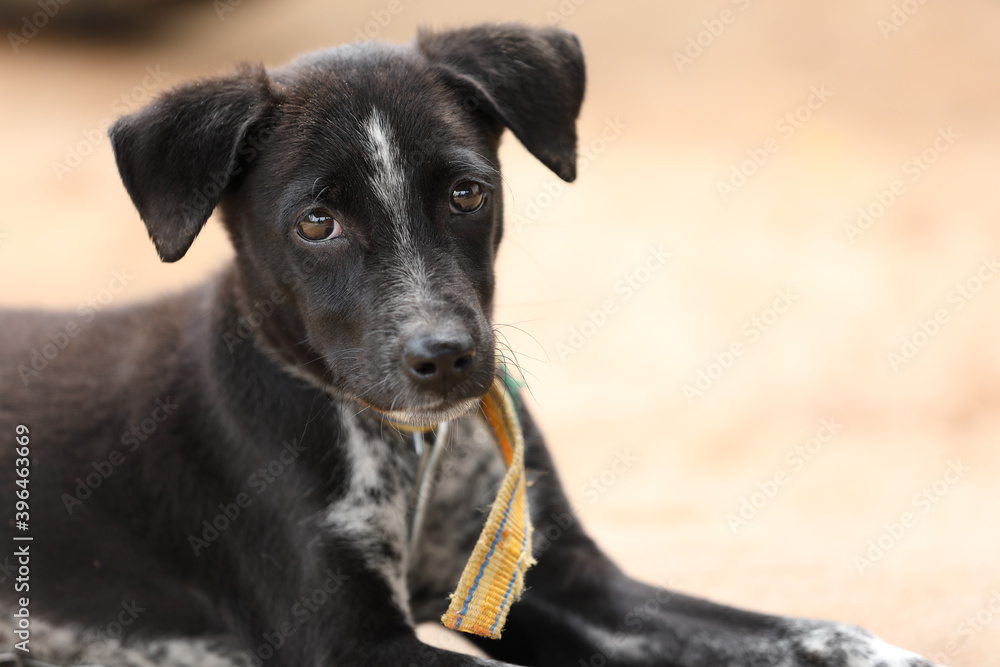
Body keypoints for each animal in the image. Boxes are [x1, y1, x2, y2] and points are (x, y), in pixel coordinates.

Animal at [0, 23, 936, 664]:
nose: (446, 356)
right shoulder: (348, 639)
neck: (410, 445)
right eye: (316, 222)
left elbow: (808, 631)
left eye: (465, 192)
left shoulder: (561, 582)